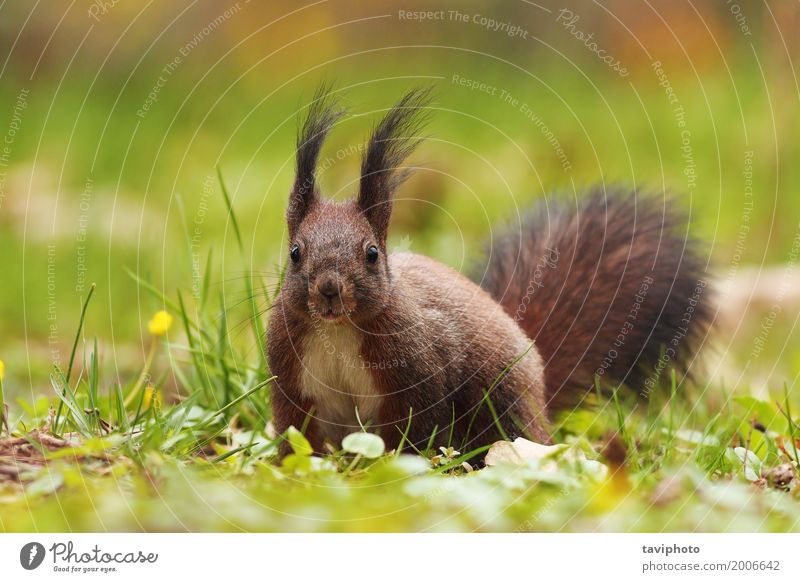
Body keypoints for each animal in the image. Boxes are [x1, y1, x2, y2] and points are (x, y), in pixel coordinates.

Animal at [268, 88, 712, 460]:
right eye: (295, 253)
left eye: (372, 253)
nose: (329, 289)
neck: (339, 330)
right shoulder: (291, 375)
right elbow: (297, 431)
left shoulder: (417, 370)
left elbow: (414, 430)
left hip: (500, 402)